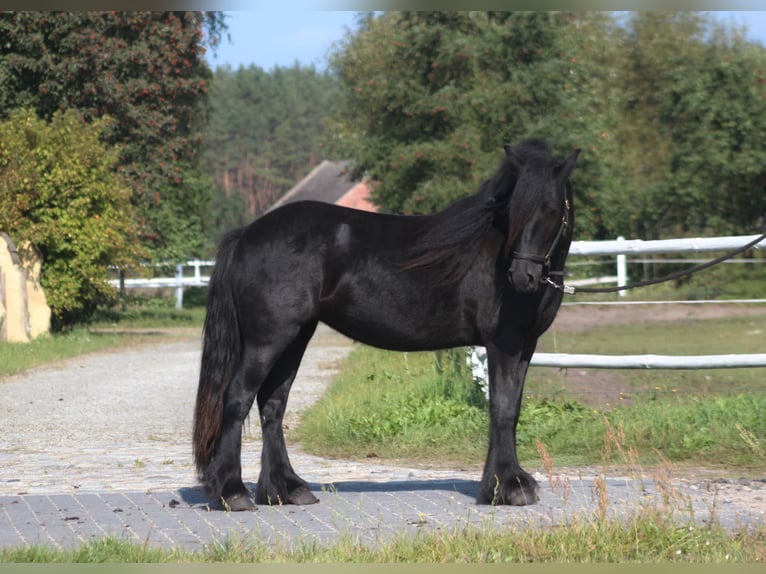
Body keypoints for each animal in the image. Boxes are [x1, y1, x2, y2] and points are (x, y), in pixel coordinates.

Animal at [193, 139, 580, 511]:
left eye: (551, 209)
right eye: (514, 211)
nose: (522, 277)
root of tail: (247, 234)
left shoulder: (524, 347)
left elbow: (512, 408)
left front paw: (507, 483)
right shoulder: (503, 345)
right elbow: (501, 408)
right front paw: (507, 487)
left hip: (295, 337)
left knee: (273, 404)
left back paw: (286, 489)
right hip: (268, 340)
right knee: (237, 398)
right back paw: (233, 492)